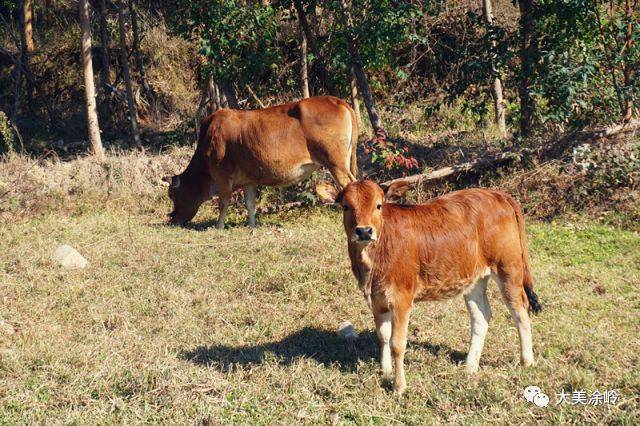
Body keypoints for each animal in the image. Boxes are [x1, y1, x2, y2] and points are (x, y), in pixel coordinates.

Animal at [164, 95, 360, 228]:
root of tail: (337, 101)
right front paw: (251, 225)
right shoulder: (248, 180)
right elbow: (250, 204)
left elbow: (223, 202)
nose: (173, 219)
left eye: (172, 194)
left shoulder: (222, 174)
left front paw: (219, 226)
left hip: (336, 164)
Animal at [316, 181, 540, 396]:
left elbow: (397, 344)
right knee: (481, 315)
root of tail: (499, 195)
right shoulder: (377, 299)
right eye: (346, 206)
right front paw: (385, 371)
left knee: (520, 311)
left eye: (379, 205)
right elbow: (383, 337)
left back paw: (526, 361)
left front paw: (399, 386)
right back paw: (470, 366)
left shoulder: (402, 299)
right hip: (474, 279)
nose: (364, 231)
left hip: (508, 268)